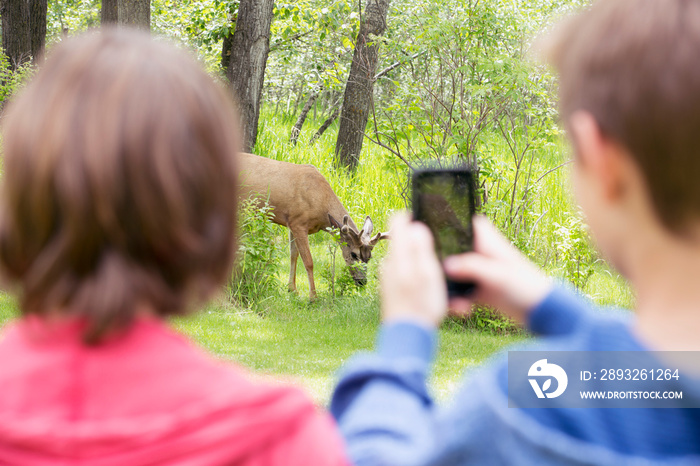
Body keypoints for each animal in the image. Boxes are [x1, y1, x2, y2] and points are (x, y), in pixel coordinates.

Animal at [237, 153, 388, 298]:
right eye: (354, 254)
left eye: (369, 257)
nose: (362, 281)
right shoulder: (298, 222)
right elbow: (308, 261)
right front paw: (313, 297)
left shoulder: (291, 222)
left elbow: (293, 255)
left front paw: (292, 290)